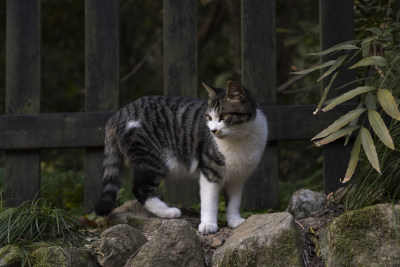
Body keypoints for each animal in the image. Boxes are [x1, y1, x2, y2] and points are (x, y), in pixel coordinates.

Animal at [95, 80, 268, 234]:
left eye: (224, 116)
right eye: (209, 118)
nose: (213, 131)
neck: (240, 138)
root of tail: (119, 113)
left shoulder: (237, 177)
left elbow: (234, 201)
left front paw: (235, 221)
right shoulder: (209, 169)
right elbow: (209, 200)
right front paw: (208, 224)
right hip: (150, 158)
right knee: (140, 188)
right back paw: (169, 212)